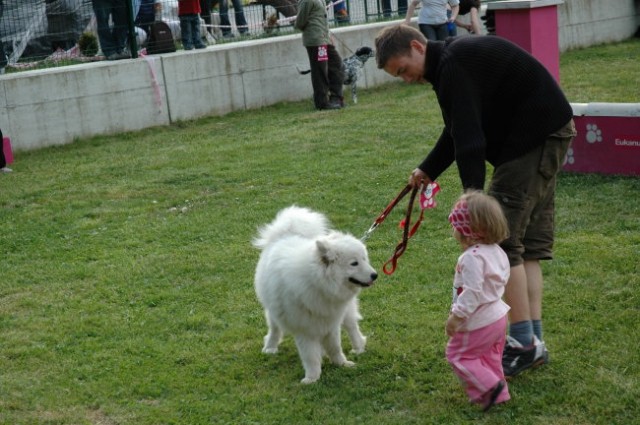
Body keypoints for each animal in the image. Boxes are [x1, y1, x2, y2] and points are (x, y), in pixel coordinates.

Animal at [252, 205, 378, 384]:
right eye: (354, 263)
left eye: (364, 259)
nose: (375, 275)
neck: (318, 284)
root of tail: (286, 233)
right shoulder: (305, 328)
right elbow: (310, 355)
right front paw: (312, 378)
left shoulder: (331, 321)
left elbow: (335, 347)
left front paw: (341, 363)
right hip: (274, 311)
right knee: (275, 329)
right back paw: (270, 347)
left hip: (345, 312)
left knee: (352, 326)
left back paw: (358, 347)